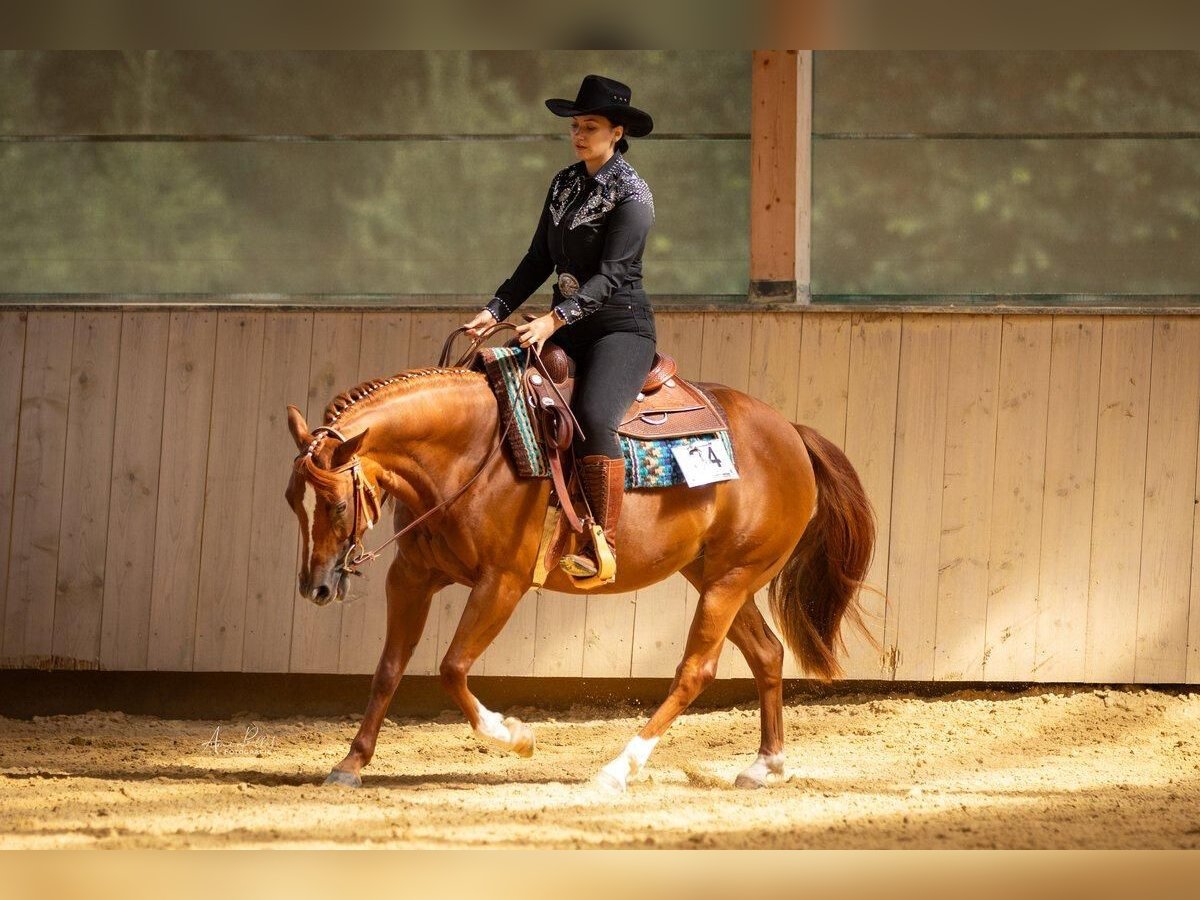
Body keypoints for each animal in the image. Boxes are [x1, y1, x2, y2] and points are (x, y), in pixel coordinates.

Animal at [286, 355, 878, 792]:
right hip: (716, 576)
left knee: (696, 671)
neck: (475, 452)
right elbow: (388, 670)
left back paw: (619, 769)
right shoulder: (411, 576)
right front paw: (350, 763)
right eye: (293, 501)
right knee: (767, 654)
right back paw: (765, 765)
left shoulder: (502, 583)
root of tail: (791, 434)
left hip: (731, 580)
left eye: (337, 505)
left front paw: (516, 737)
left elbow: (452, 668)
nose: (316, 588)